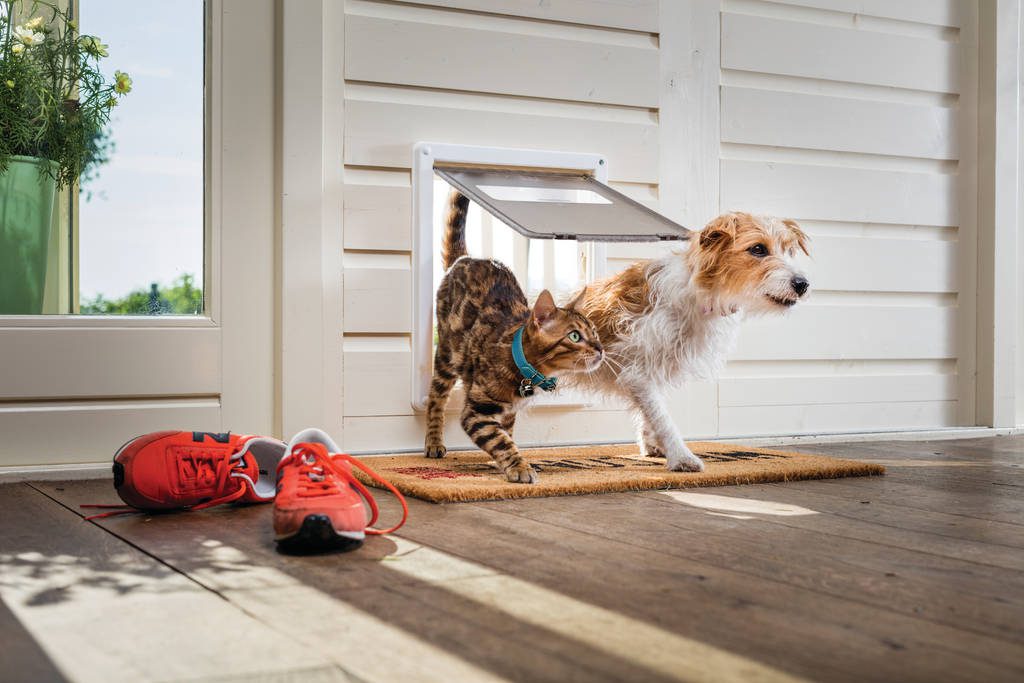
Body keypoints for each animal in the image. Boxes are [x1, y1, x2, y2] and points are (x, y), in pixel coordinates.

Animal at [425, 189, 602, 483]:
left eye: (595, 332)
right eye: (575, 336)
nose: (601, 349)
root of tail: (465, 259)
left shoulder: (508, 413)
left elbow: (507, 436)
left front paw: (503, 463)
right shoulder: (476, 411)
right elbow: (500, 441)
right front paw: (518, 466)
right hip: (447, 355)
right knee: (435, 399)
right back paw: (433, 442)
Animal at [569, 210, 806, 473]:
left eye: (788, 250)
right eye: (758, 249)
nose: (802, 284)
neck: (698, 294)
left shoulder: (653, 369)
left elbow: (651, 411)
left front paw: (652, 444)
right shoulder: (638, 373)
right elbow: (661, 416)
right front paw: (681, 456)